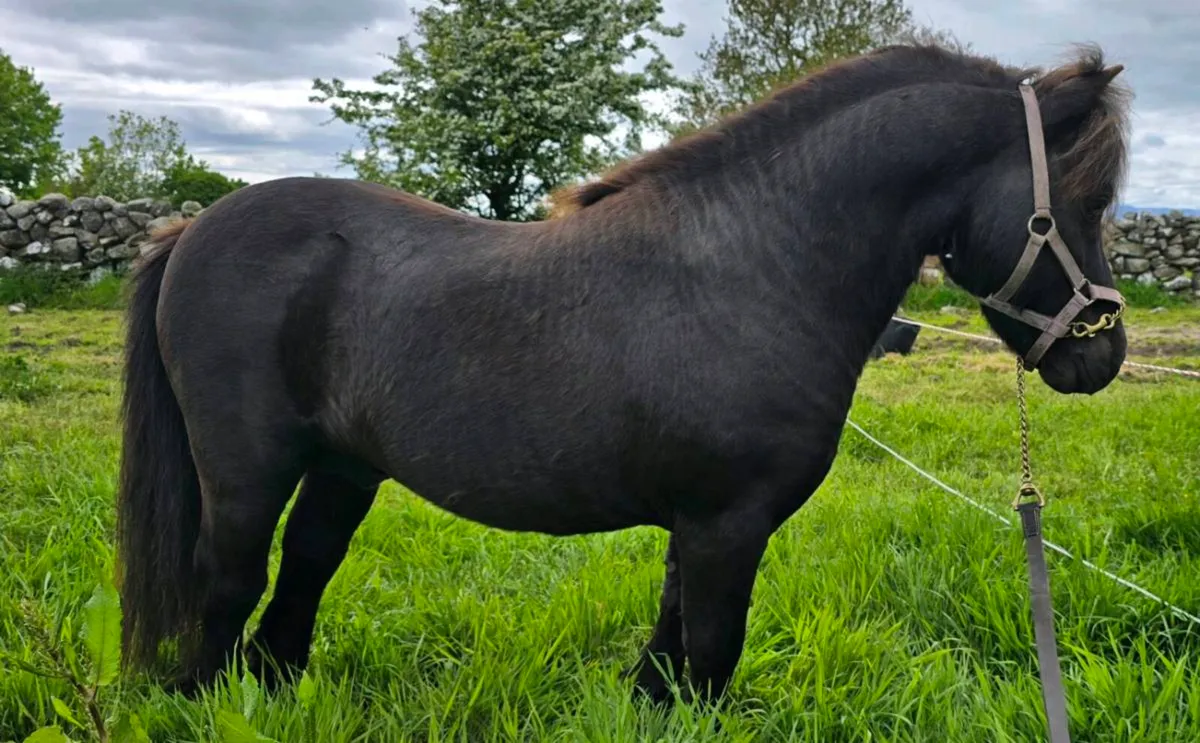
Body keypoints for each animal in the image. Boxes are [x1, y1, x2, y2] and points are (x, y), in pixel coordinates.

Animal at [114, 41, 1131, 706]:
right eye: (1079, 200)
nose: (1102, 352)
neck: (755, 266)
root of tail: (192, 229)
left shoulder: (702, 523)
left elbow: (671, 652)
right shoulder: (729, 524)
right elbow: (711, 654)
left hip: (342, 469)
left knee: (301, 576)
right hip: (247, 474)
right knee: (228, 583)